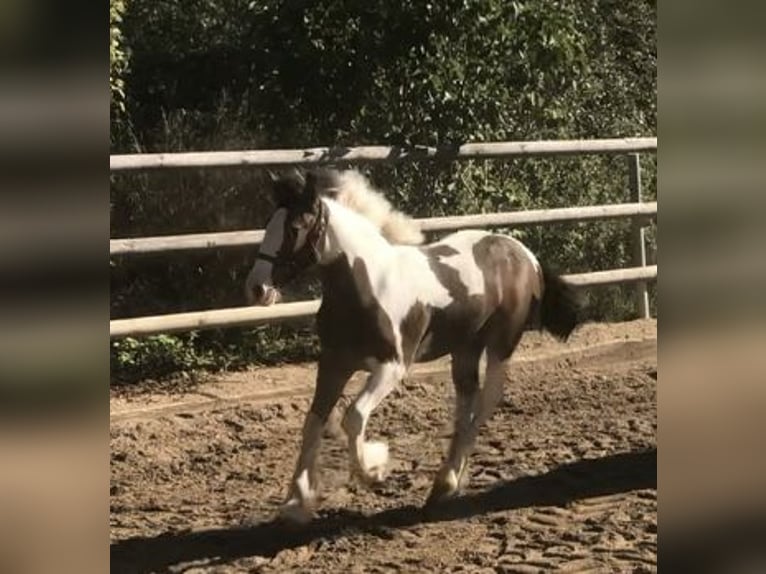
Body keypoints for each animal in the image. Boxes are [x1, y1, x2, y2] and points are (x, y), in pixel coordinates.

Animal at [246, 168, 584, 528]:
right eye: (269, 225)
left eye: (295, 228)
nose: (257, 288)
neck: (368, 285)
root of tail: (526, 255)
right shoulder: (334, 363)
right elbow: (313, 422)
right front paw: (296, 503)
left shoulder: (392, 366)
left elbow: (353, 417)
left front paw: (374, 470)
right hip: (465, 348)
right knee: (468, 402)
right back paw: (445, 485)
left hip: (500, 345)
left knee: (487, 401)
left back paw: (445, 484)